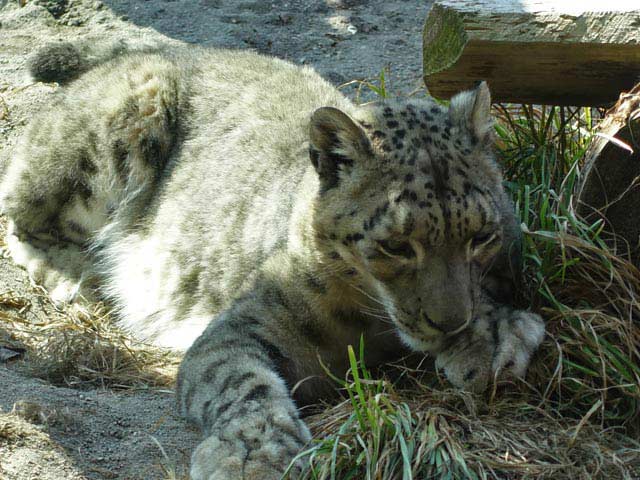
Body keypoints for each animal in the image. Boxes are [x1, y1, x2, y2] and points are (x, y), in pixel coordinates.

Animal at [2, 42, 548, 480]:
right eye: (395, 245)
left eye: (481, 236)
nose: (451, 322)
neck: (372, 325)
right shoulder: (240, 327)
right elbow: (241, 383)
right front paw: (254, 455)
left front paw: (491, 339)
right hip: (103, 142)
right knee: (19, 212)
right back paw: (78, 279)